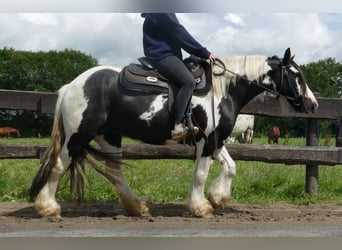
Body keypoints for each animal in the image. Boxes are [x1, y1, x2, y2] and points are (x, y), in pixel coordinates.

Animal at [28, 47, 318, 218]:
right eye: (296, 75)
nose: (313, 104)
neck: (224, 89)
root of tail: (72, 85)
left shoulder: (215, 139)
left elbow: (231, 166)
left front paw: (218, 198)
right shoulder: (206, 140)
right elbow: (201, 174)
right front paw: (200, 206)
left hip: (108, 136)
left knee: (115, 173)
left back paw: (137, 207)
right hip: (78, 135)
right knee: (58, 166)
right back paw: (48, 207)